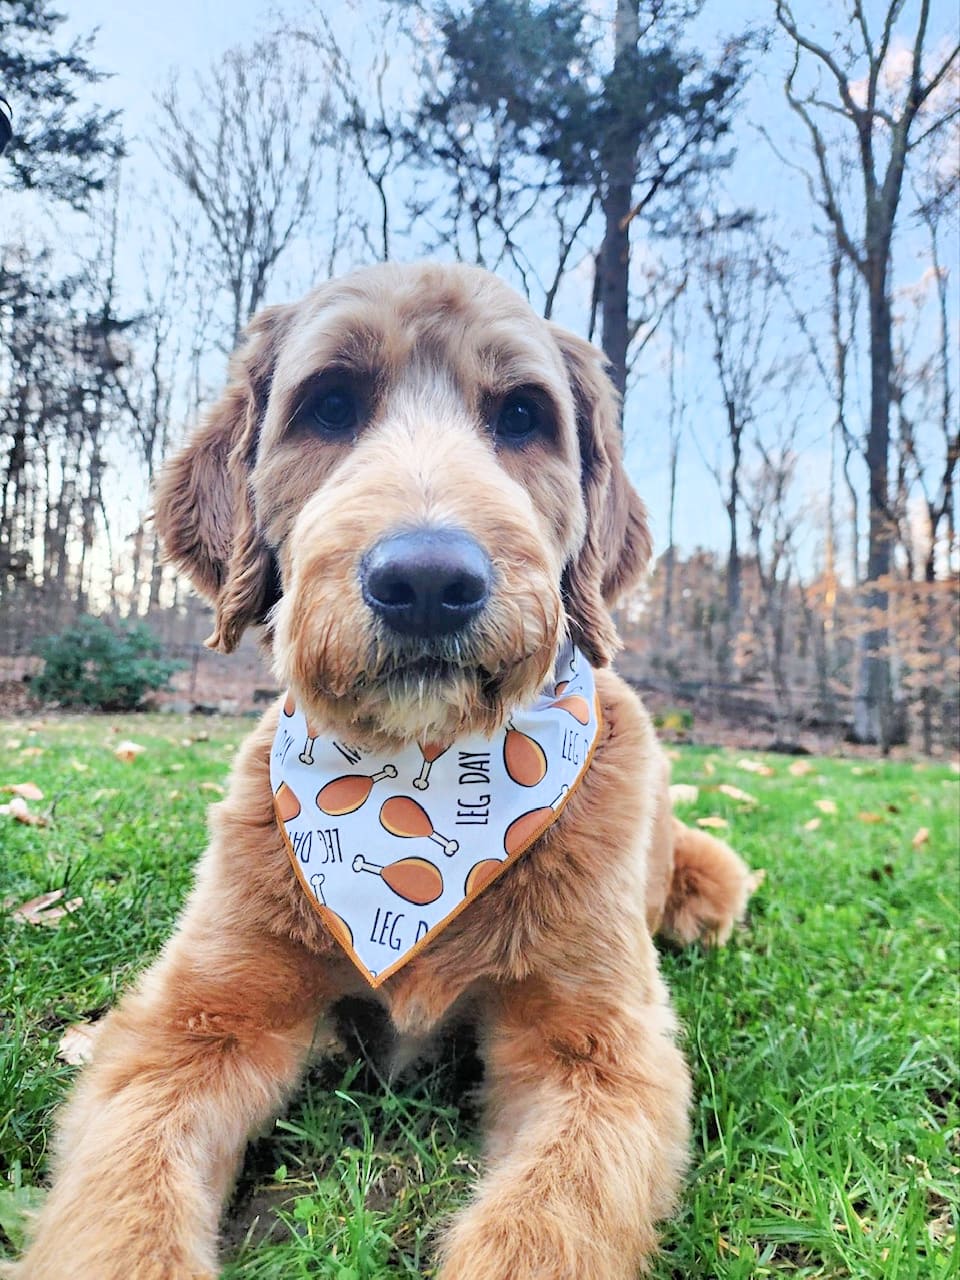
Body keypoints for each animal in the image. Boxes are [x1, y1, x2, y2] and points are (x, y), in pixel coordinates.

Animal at [11, 263, 753, 1279]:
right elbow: (126, 1191)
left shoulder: (595, 1047)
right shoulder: (205, 1010)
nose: (429, 582)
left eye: (522, 415)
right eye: (330, 405)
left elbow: (546, 1220)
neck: (418, 774)